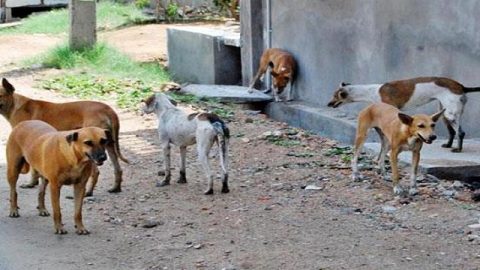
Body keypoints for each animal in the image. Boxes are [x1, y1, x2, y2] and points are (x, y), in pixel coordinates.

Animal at [0, 78, 129, 196]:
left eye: (0, 95)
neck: (14, 105)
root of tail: (109, 109)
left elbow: (33, 169)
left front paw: (31, 183)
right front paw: (33, 183)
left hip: (94, 152)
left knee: (96, 172)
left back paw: (88, 192)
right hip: (108, 146)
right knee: (118, 169)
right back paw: (115, 188)